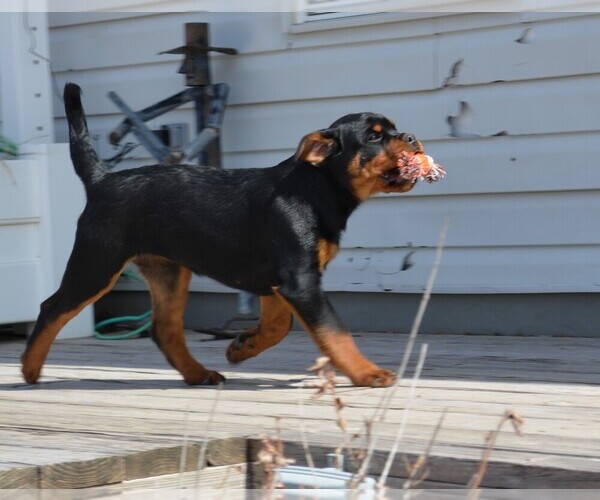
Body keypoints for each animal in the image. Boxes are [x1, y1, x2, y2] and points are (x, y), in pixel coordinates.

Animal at [21, 83, 428, 386]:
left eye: (395, 130)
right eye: (374, 138)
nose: (411, 136)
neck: (317, 188)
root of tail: (102, 180)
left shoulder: (281, 284)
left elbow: (279, 326)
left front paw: (242, 346)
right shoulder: (299, 280)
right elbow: (335, 332)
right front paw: (367, 373)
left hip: (167, 271)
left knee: (164, 328)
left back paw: (197, 374)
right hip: (97, 263)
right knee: (51, 307)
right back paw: (29, 368)